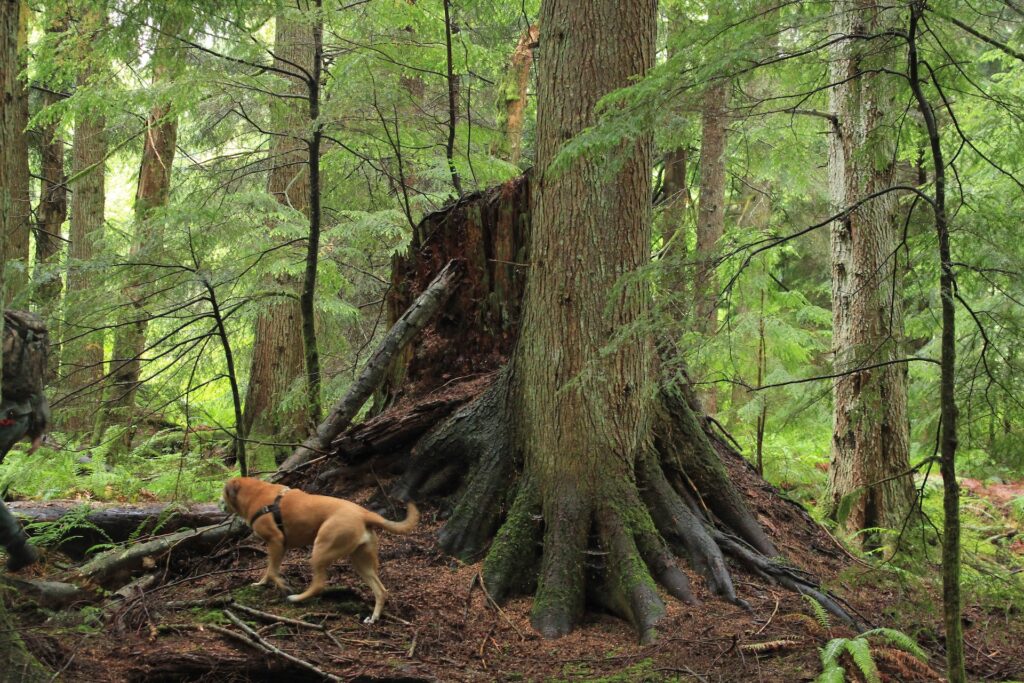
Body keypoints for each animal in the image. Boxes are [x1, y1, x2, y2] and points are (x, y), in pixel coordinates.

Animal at [222, 479, 417, 622]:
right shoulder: (279, 547)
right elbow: (270, 570)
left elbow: (272, 571)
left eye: (223, 493)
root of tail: (364, 514)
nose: (219, 503)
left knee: (318, 585)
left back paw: (296, 598)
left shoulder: (276, 542)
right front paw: (261, 583)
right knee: (381, 591)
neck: (255, 493)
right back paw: (374, 617)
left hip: (320, 550)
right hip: (361, 562)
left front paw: (282, 585)